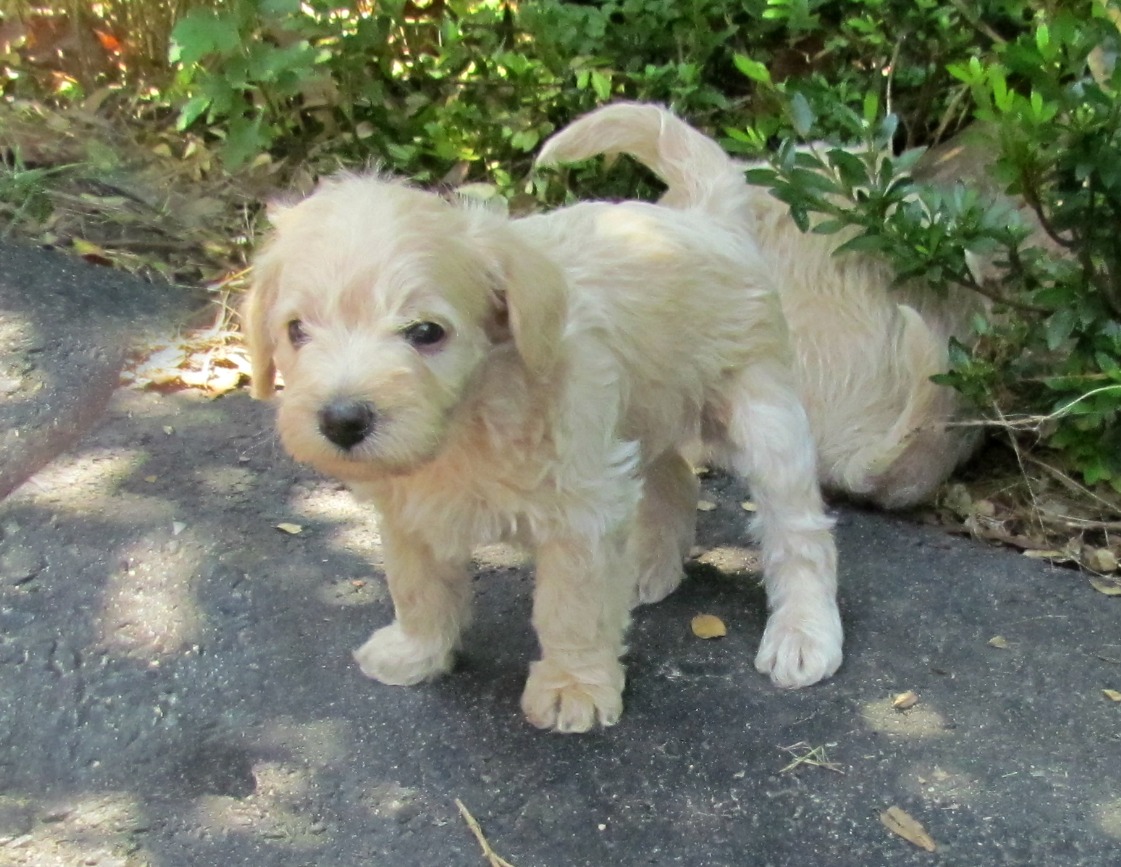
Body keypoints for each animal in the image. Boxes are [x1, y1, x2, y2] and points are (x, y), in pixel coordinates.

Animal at [241, 114, 842, 732]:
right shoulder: (410, 507)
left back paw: (803, 633)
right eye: (296, 330)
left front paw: (572, 685)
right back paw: (650, 567)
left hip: (763, 417)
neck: (472, 417)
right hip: (641, 411)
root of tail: (706, 215)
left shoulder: (583, 507)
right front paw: (417, 651)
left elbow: (572, 607)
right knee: (675, 477)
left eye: (427, 332)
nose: (342, 420)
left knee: (800, 533)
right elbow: (416, 583)